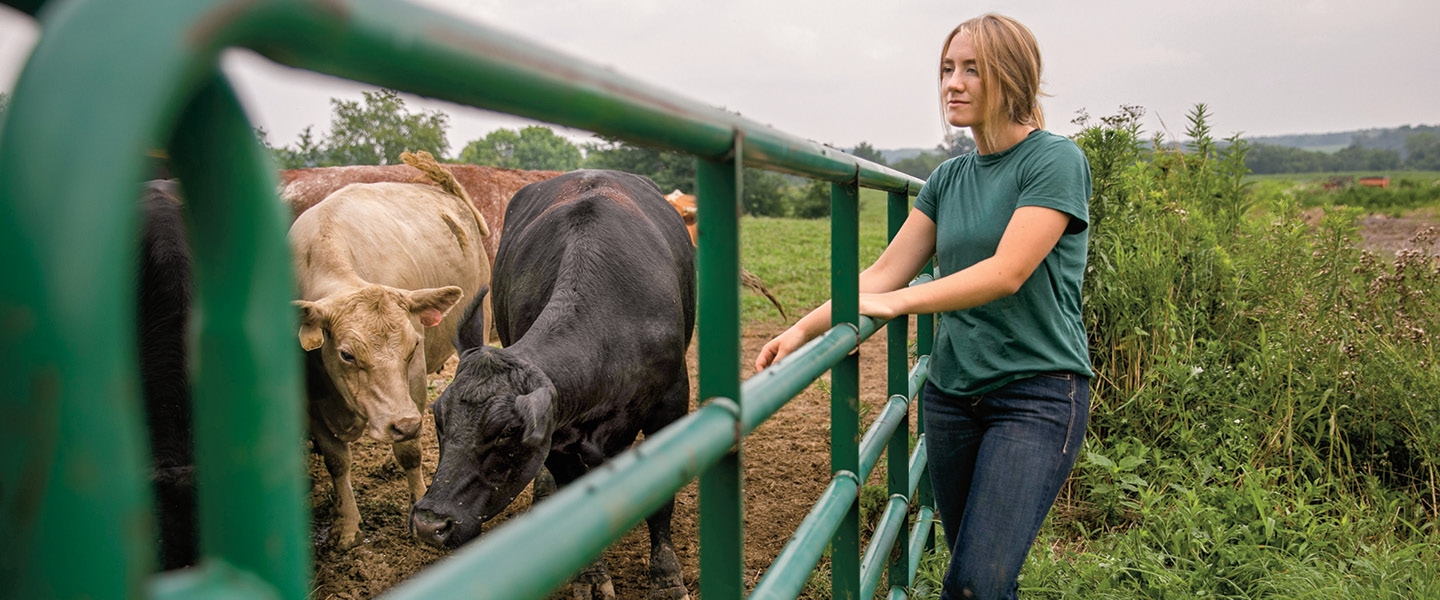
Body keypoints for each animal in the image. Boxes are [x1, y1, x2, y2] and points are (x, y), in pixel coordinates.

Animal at [289, 153, 492, 546]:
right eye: (347, 354)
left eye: (413, 345)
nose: (405, 423)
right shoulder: (309, 401)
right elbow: (337, 461)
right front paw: (348, 526)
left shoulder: (412, 383)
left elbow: (410, 453)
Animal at [411, 169, 696, 598]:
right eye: (439, 420)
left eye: (507, 431)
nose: (430, 524)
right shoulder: (558, 436)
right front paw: (591, 577)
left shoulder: (672, 402)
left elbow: (662, 500)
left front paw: (666, 579)